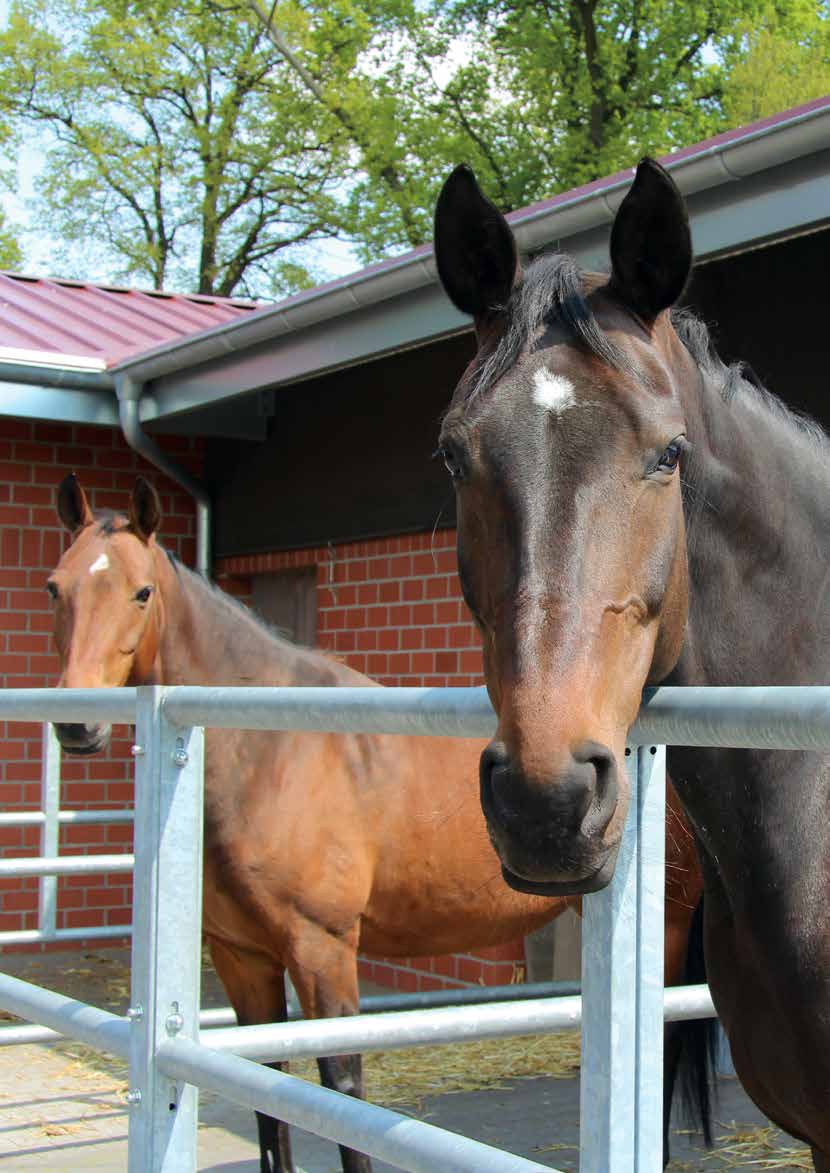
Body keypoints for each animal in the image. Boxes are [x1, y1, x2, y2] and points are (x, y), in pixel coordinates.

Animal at [46, 471, 708, 1168]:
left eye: (141, 592)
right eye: (56, 587)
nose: (77, 724)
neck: (273, 748)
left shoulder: (324, 948)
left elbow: (343, 1090)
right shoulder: (241, 956)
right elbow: (267, 1089)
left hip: (669, 923)